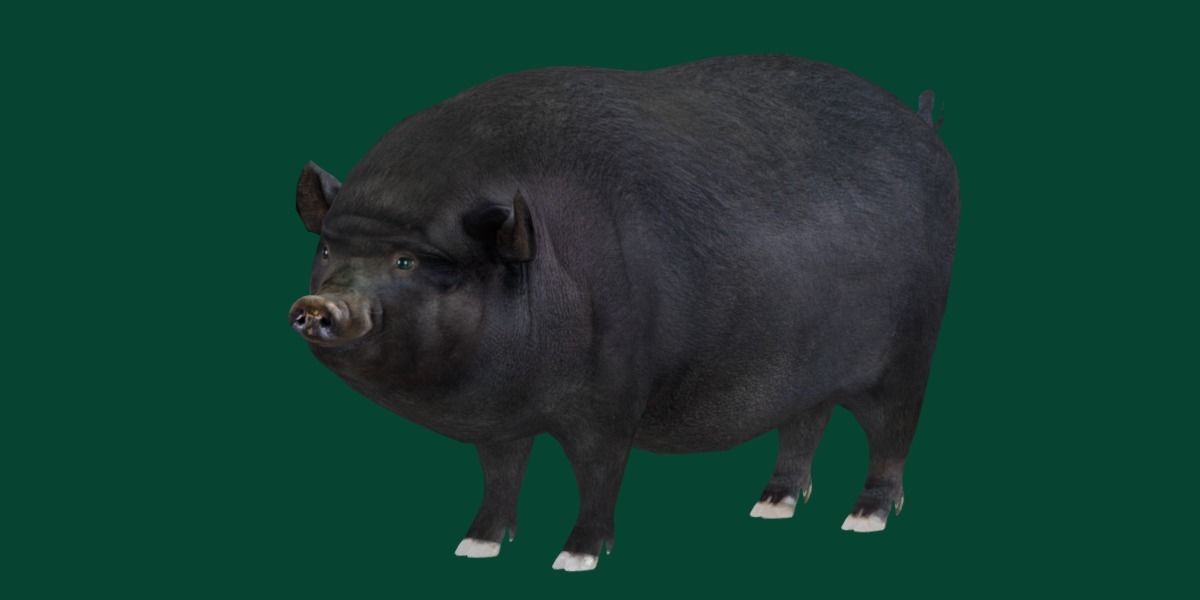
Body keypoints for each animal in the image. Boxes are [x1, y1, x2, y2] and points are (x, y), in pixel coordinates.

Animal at [289, 54, 958, 571]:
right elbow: (501, 472)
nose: (318, 305)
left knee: (894, 431)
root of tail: (923, 125)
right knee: (804, 423)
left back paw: (864, 519)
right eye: (327, 249)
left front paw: (574, 559)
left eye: (407, 261)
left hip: (911, 348)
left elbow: (599, 470)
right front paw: (474, 547)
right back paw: (771, 506)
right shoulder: (500, 419)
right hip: (807, 371)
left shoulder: (614, 392)